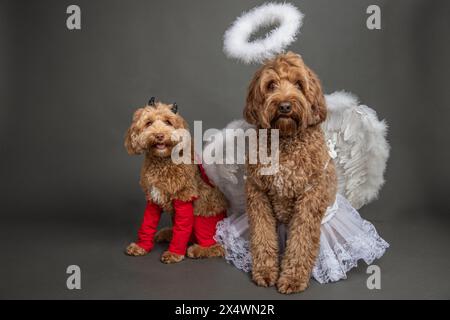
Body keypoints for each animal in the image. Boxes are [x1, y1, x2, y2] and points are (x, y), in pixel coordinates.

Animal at [124, 99, 227, 264]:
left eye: (168, 122)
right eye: (148, 123)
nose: (159, 135)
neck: (162, 162)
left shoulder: (184, 197)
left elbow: (182, 229)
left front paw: (174, 253)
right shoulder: (153, 198)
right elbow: (147, 223)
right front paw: (141, 246)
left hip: (202, 216)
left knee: (217, 246)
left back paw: (198, 249)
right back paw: (168, 233)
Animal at [244, 51, 336, 294]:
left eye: (299, 84)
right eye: (271, 85)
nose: (285, 106)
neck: (285, 140)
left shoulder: (310, 199)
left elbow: (301, 241)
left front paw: (293, 278)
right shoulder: (257, 194)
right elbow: (262, 235)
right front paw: (265, 272)